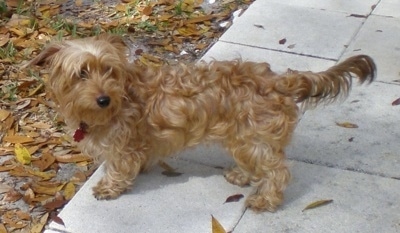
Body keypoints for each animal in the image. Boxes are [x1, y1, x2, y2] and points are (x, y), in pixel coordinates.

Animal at [26, 34, 376, 211]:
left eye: (108, 71)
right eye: (81, 73)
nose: (104, 99)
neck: (122, 96)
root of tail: (278, 80)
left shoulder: (123, 146)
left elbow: (119, 168)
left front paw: (110, 187)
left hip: (254, 138)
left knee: (277, 172)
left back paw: (265, 199)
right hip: (245, 139)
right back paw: (242, 176)